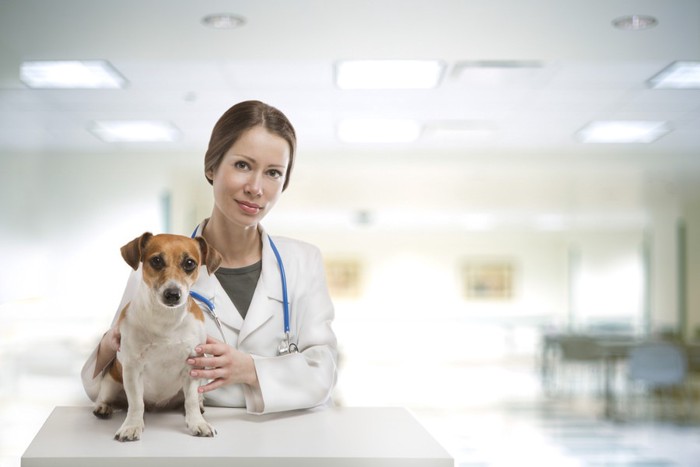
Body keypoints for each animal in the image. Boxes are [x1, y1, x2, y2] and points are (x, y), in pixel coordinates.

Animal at [91, 233, 220, 442]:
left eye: (190, 263)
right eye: (156, 260)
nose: (173, 294)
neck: (166, 319)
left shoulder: (193, 366)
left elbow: (191, 400)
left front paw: (197, 423)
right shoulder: (132, 368)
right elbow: (136, 403)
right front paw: (132, 426)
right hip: (111, 380)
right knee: (107, 397)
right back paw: (102, 407)